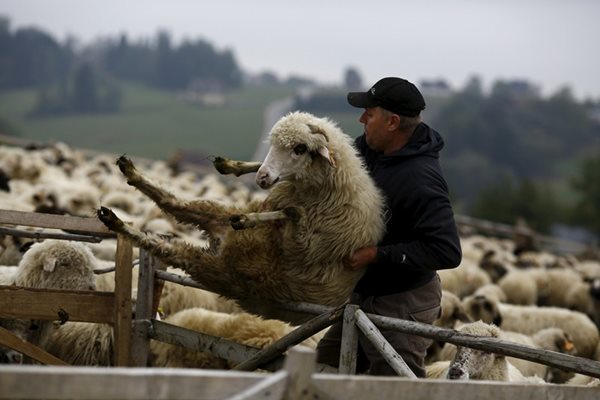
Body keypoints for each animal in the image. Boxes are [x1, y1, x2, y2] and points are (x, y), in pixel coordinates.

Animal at [96, 111, 386, 324]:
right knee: (173, 202)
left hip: (215, 269)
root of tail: (221, 241)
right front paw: (233, 167)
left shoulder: (302, 248)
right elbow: (290, 210)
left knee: (163, 239)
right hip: (213, 218)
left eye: (300, 148)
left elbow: (293, 213)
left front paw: (252, 218)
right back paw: (130, 176)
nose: (263, 178)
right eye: (273, 145)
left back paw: (116, 219)